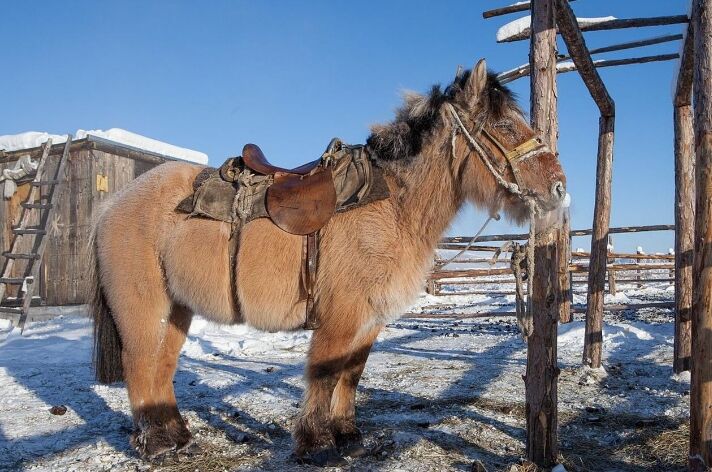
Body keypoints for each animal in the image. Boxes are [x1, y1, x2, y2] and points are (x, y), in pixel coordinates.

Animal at [90, 59, 568, 460]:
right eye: (504, 125)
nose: (559, 189)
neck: (392, 205)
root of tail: (111, 205)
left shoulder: (370, 320)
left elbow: (350, 374)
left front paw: (346, 435)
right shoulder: (340, 316)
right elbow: (324, 373)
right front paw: (316, 441)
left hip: (177, 309)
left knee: (161, 368)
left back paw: (176, 435)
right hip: (142, 307)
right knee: (139, 365)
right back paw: (155, 444)